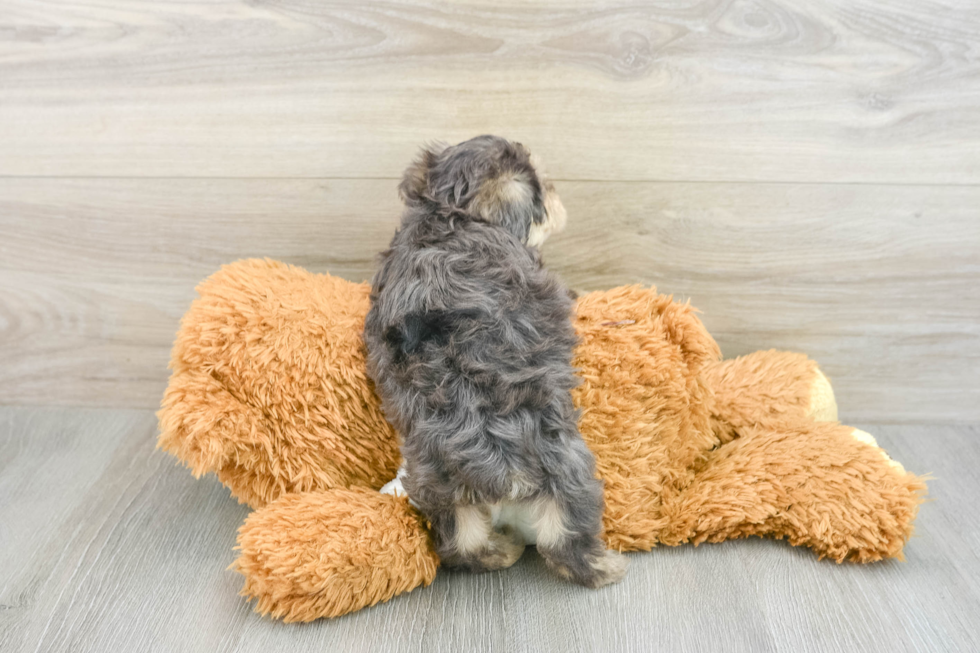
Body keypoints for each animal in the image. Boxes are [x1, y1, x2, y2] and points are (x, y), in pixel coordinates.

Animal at [362, 135, 628, 588]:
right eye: (541, 187)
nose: (556, 192)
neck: (449, 211)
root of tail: (501, 472)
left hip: (439, 487)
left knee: (462, 546)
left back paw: (501, 551)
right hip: (570, 467)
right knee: (566, 541)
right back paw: (605, 567)